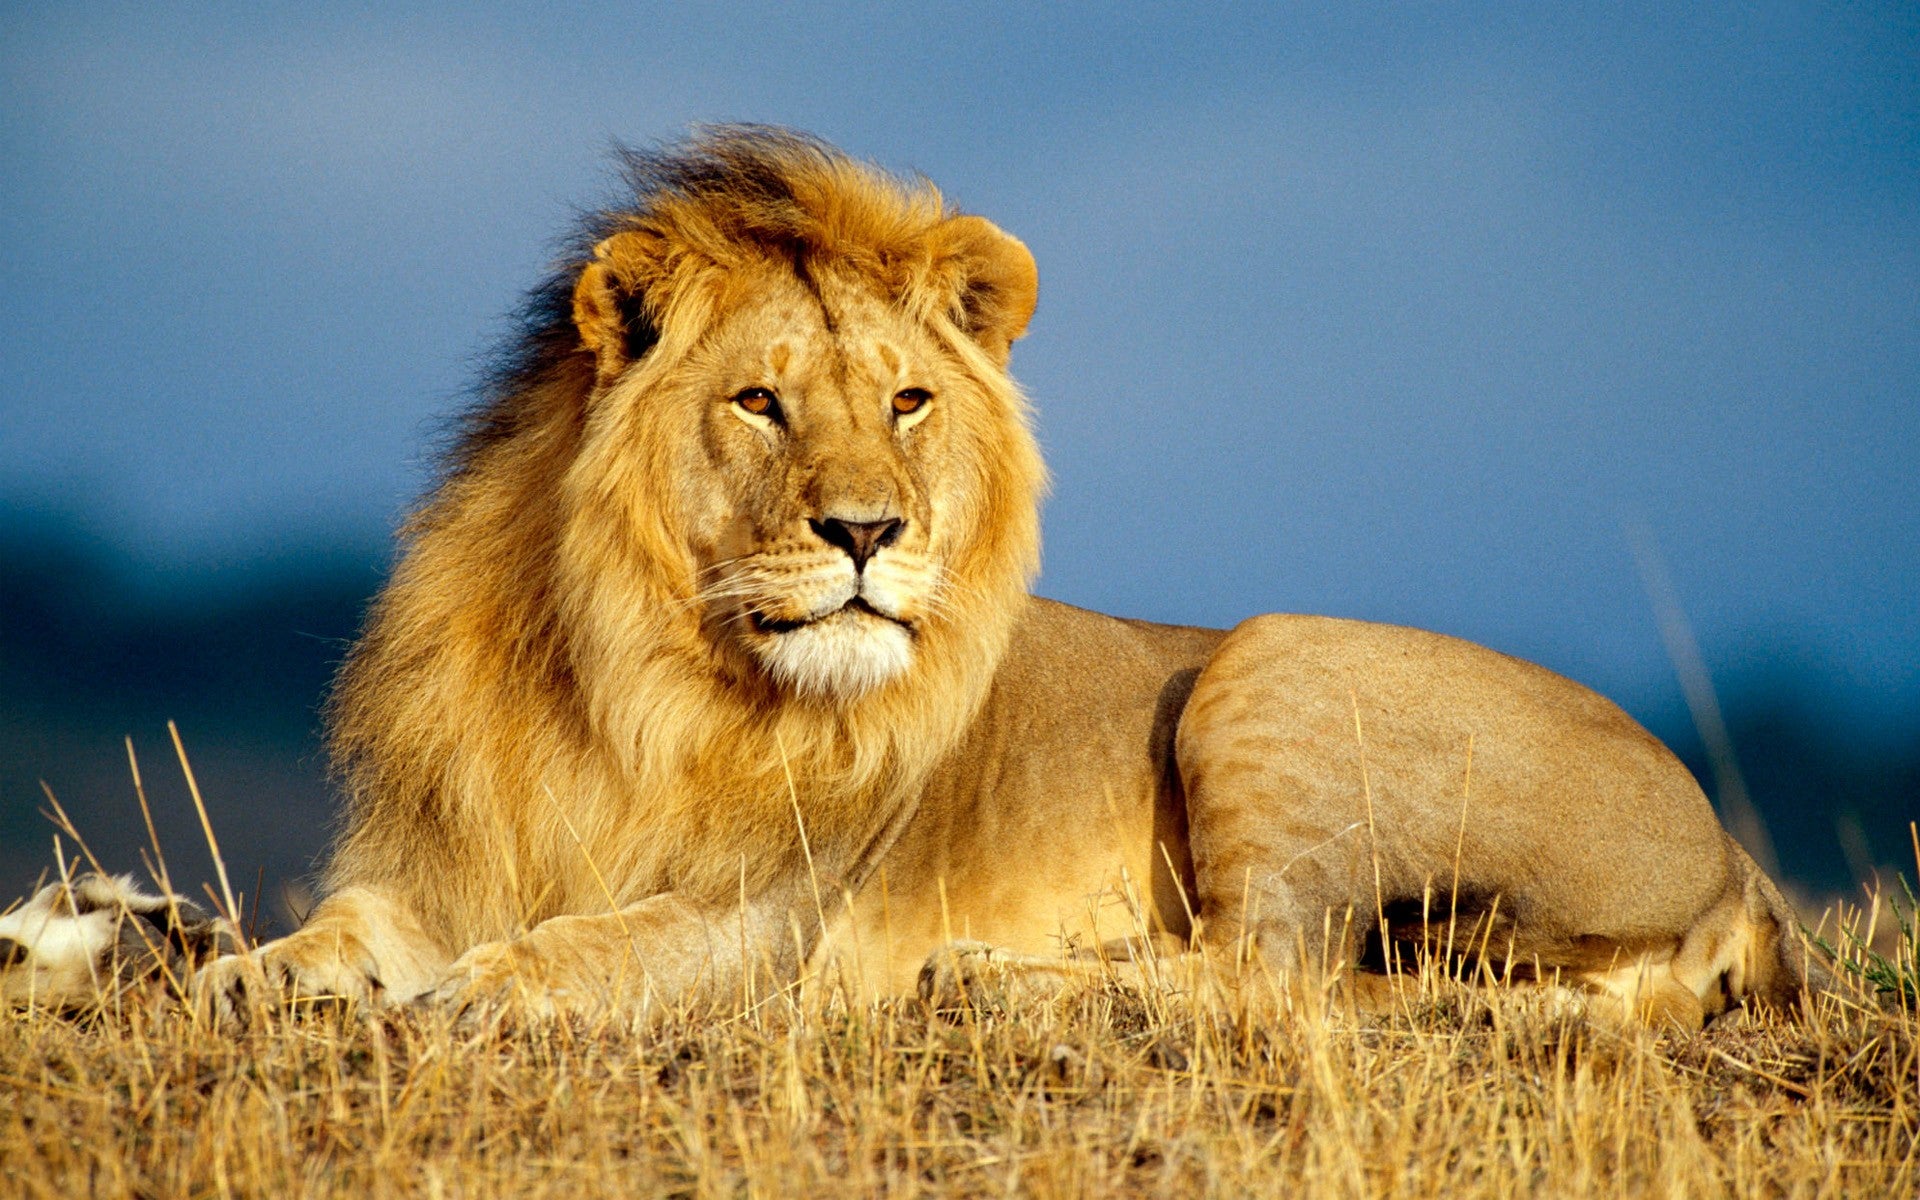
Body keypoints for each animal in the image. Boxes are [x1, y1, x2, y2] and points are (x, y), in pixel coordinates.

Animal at [142, 127, 1820, 1029]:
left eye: (906, 403)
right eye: (759, 403)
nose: (867, 533)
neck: (627, 676)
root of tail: (1736, 860)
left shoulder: (777, 917)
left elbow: (601, 941)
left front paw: (487, 989)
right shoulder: (438, 860)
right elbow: (344, 931)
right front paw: (242, 978)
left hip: (1268, 661)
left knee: (1276, 978)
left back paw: (993, 980)